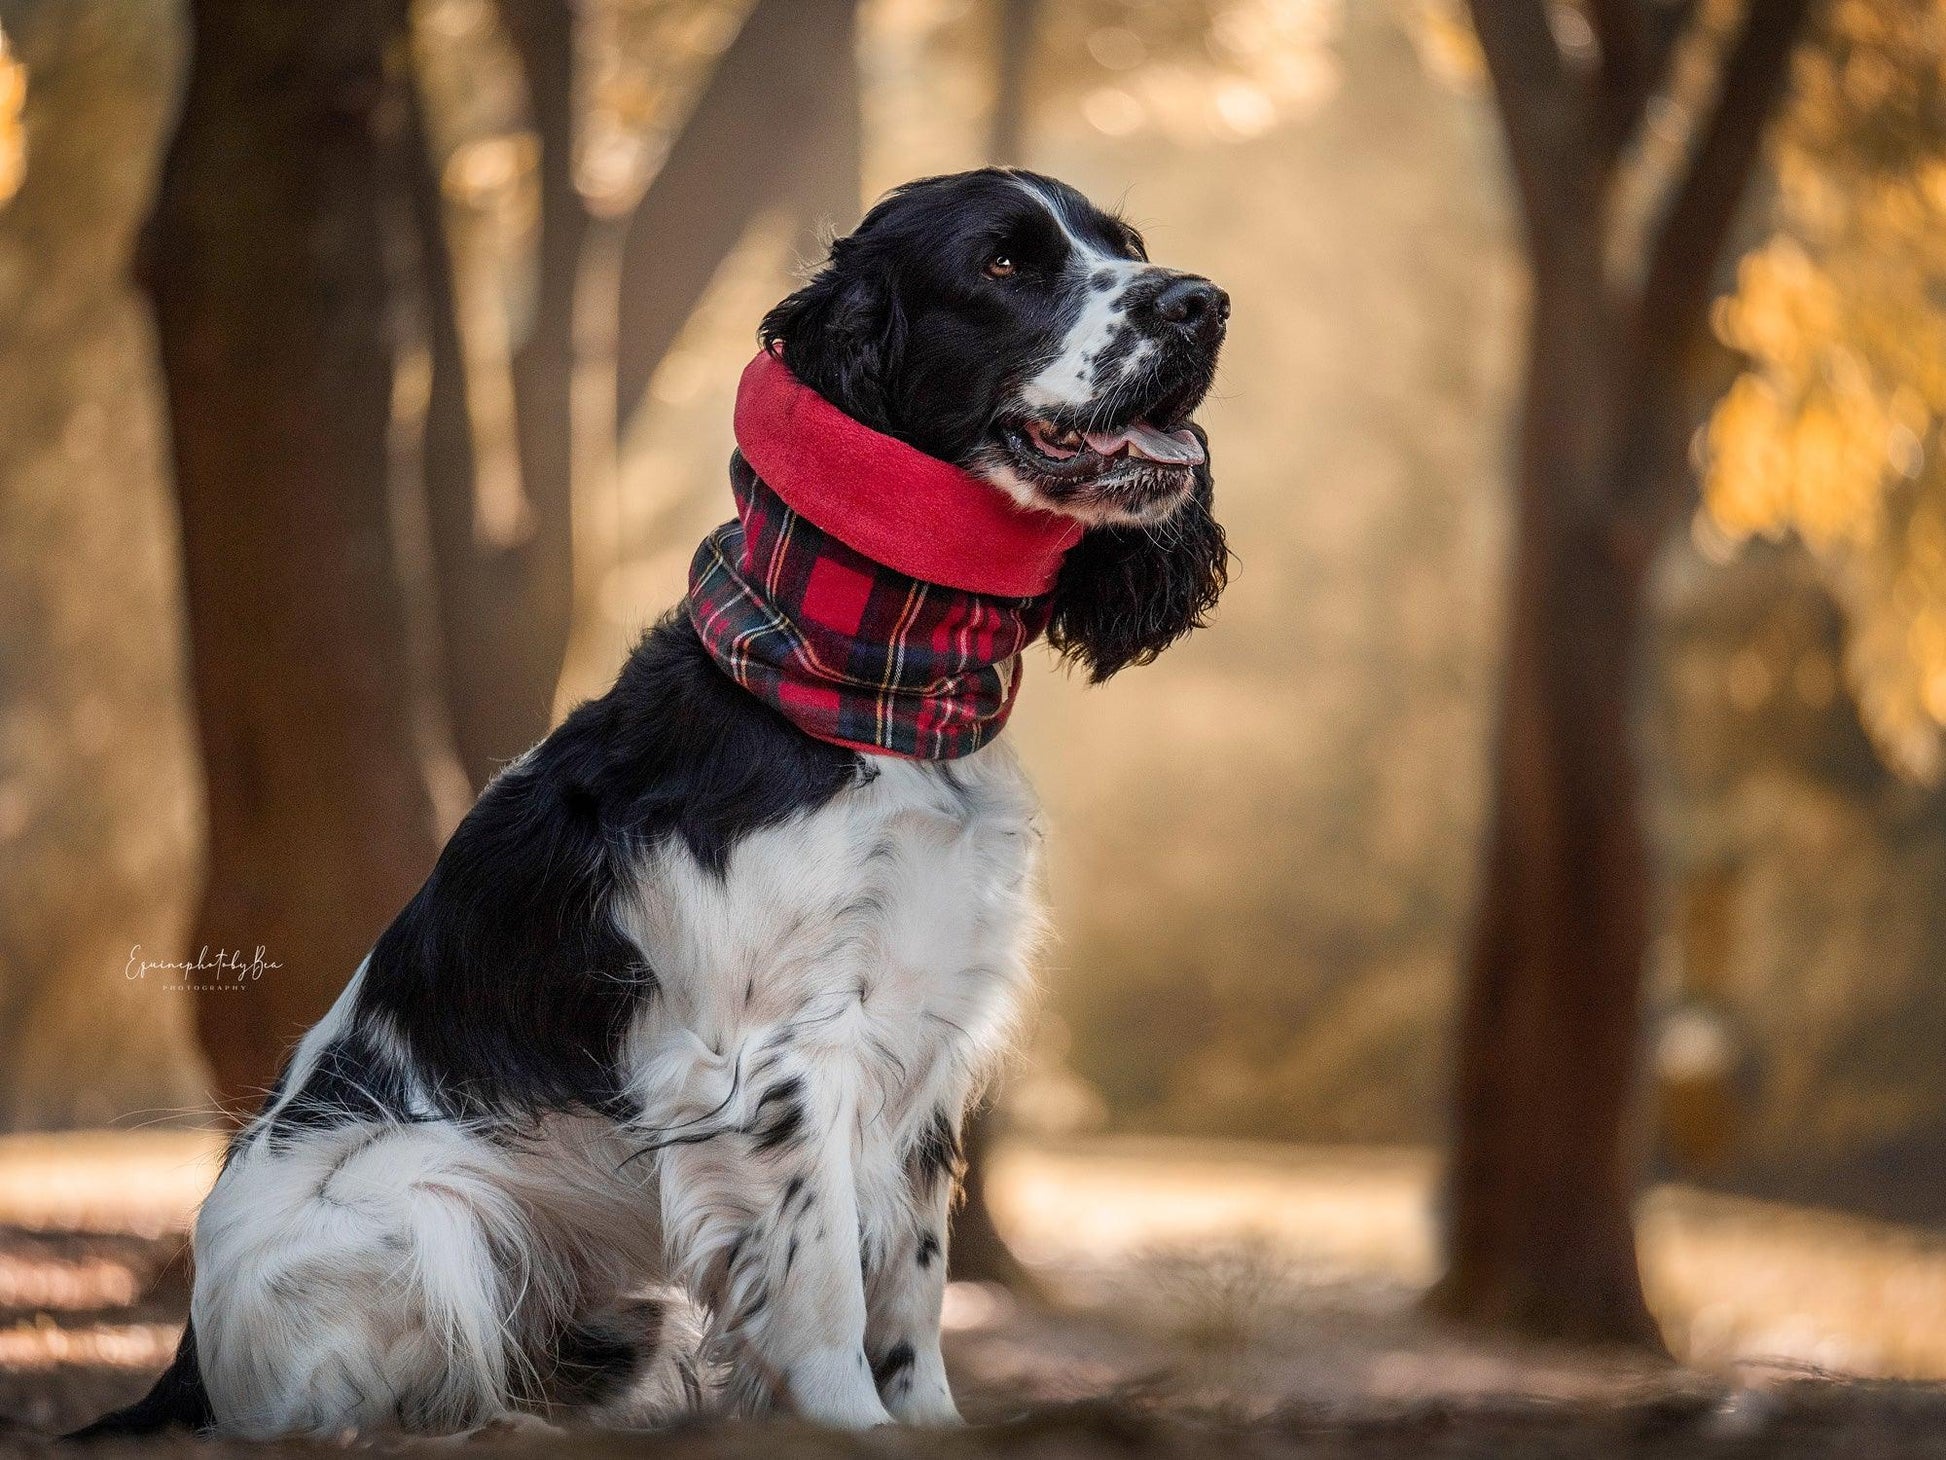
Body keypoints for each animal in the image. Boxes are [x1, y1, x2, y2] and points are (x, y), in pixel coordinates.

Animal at [79, 165, 1229, 1448]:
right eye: (1003, 263)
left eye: (1118, 243)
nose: (1202, 302)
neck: (879, 690)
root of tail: (185, 1355)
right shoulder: (776, 1055)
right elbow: (824, 1279)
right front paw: (847, 1425)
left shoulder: (930, 1038)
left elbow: (911, 1281)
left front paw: (928, 1421)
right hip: (421, 1202)